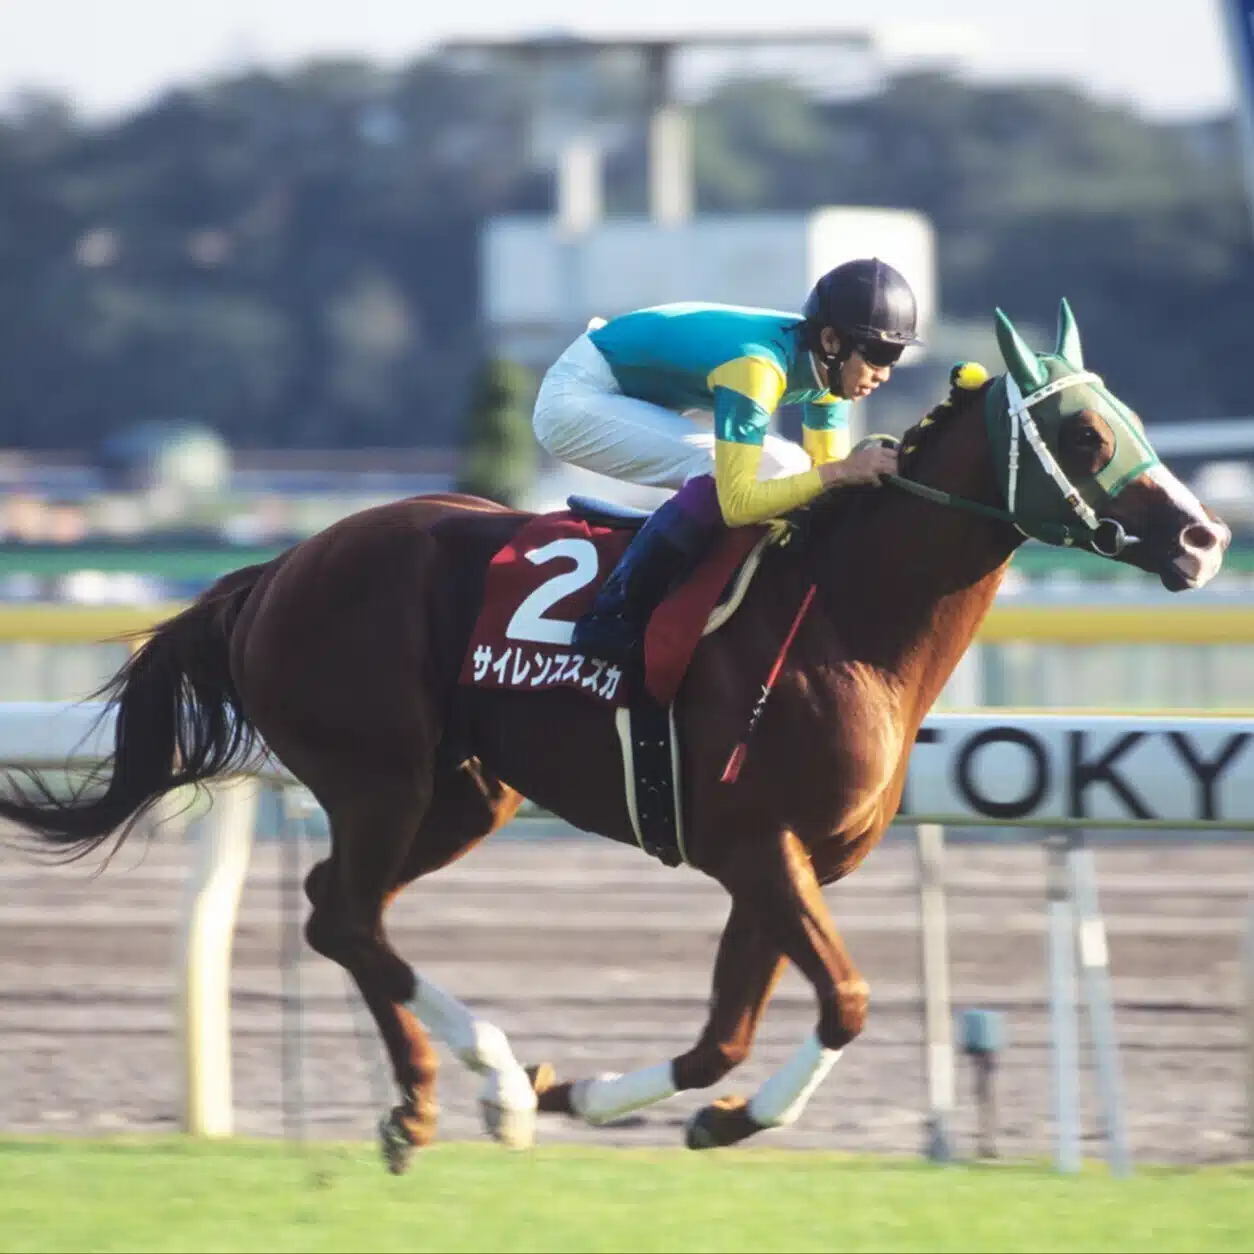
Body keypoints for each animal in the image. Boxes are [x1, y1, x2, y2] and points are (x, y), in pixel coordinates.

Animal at [0, 301, 1229, 1170]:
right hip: (379, 773)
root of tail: (276, 568)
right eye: (1083, 430)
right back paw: (471, 1088)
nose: (1204, 539)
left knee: (337, 914)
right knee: (347, 914)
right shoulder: (757, 850)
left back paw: (454, 1093)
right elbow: (847, 999)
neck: (846, 624)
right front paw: (618, 1100)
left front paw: (629, 1102)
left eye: (1125, 417)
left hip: (464, 791)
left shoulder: (776, 863)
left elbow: (725, 1032)